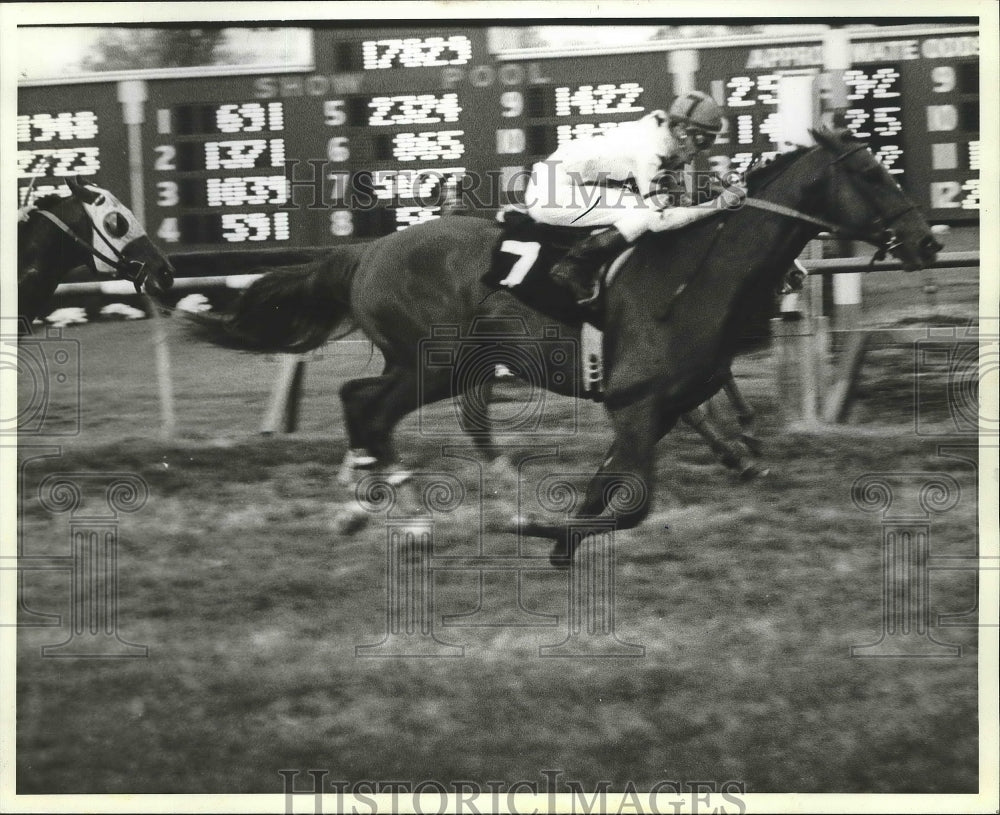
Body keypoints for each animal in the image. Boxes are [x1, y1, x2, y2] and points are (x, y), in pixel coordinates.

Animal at [189, 131, 944, 564]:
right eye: (871, 173)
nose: (928, 242)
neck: (699, 272)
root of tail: (369, 249)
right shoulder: (637, 403)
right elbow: (633, 504)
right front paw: (535, 531)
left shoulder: (654, 408)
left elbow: (602, 491)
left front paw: (555, 540)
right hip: (435, 362)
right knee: (368, 406)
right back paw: (401, 516)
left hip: (432, 366)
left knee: (360, 402)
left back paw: (371, 510)